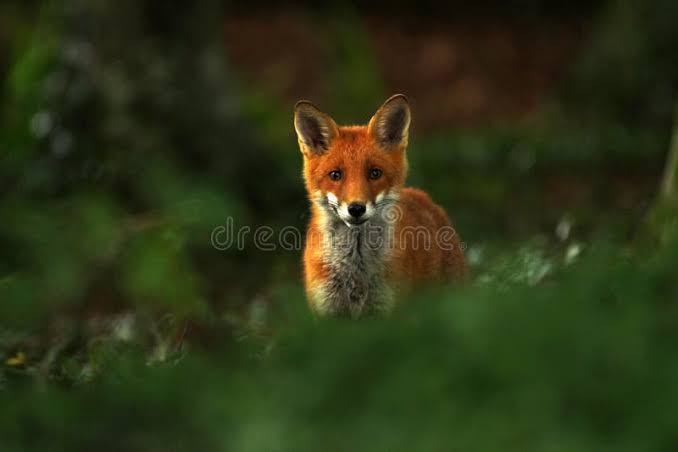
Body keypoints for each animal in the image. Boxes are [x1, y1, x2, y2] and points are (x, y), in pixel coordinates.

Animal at [294, 94, 467, 318]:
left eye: (375, 173)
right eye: (335, 175)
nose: (356, 208)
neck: (356, 273)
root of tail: (424, 197)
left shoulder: (386, 310)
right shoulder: (327, 311)